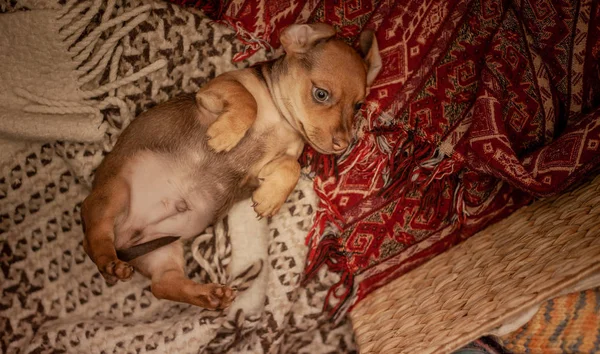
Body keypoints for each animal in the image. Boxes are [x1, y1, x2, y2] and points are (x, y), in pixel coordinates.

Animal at [81, 23, 380, 308]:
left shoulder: (270, 165)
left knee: (163, 285)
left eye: (358, 105)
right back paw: (111, 263)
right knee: (96, 237)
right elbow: (247, 101)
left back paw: (211, 296)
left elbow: (291, 168)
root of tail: (124, 241)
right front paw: (225, 135)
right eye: (321, 94)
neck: (281, 119)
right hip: (114, 193)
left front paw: (270, 198)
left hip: (164, 253)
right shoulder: (221, 87)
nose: (343, 144)